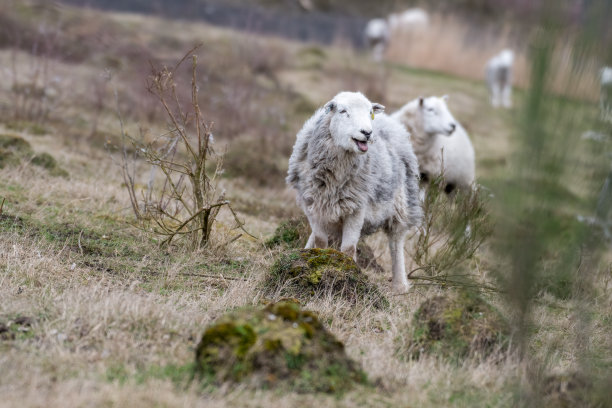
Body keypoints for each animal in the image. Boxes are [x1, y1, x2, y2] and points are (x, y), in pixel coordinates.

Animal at [286, 91, 420, 294]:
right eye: (343, 111)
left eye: (370, 112)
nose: (367, 133)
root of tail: (389, 120)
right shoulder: (313, 204)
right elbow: (320, 240)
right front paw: (315, 258)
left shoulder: (357, 207)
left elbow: (349, 248)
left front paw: (347, 270)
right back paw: (305, 251)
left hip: (401, 205)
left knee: (396, 242)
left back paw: (399, 285)